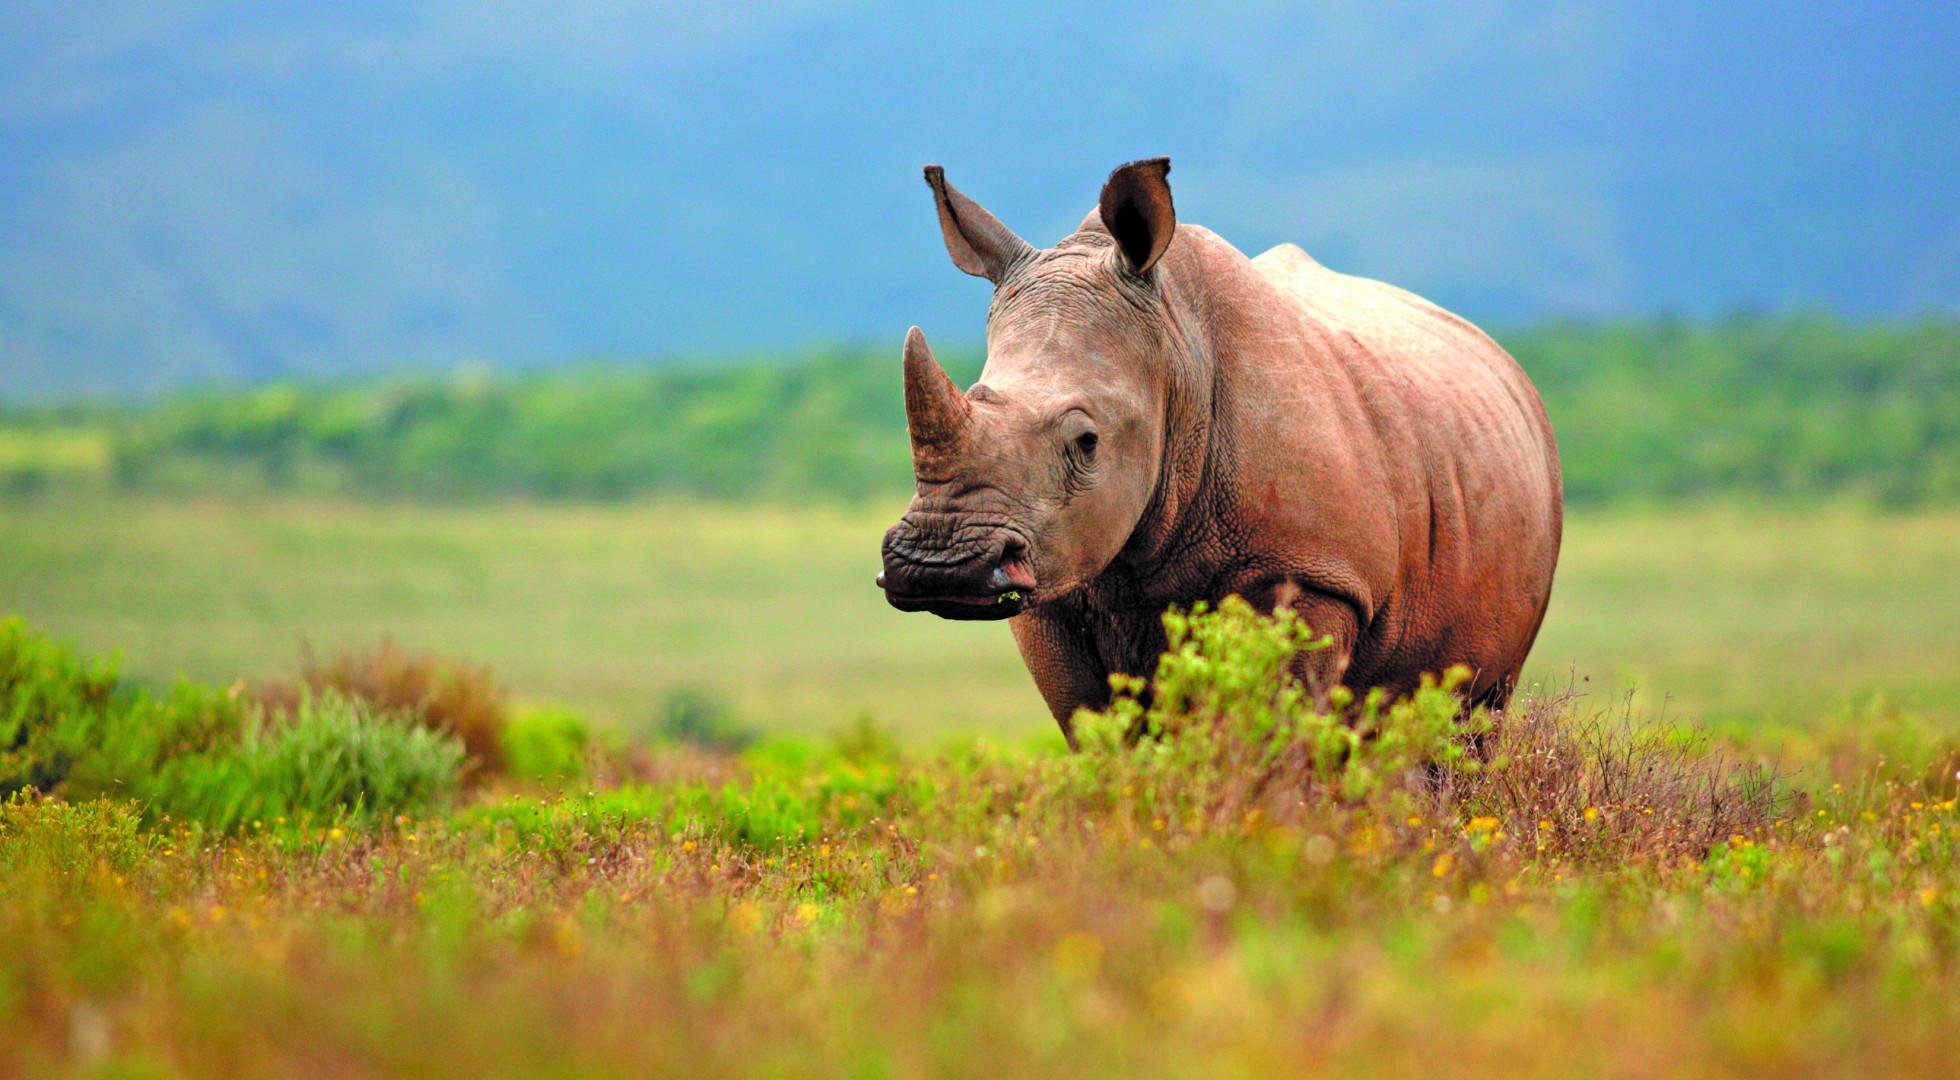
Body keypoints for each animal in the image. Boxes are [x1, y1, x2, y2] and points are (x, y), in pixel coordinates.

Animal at [877, 158, 1562, 741]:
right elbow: (1103, 735)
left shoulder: (1311, 573)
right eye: (975, 396)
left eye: (1087, 442)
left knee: (1469, 718)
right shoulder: (1053, 586)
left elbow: (1272, 731)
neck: (1177, 353)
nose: (938, 566)